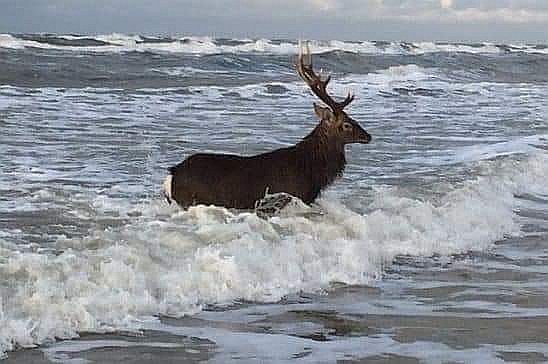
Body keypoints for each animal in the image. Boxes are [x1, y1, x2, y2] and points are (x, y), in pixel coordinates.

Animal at [161, 44, 370, 210]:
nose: (368, 136)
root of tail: (171, 175)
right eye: (346, 124)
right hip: (192, 200)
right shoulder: (295, 195)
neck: (311, 169)